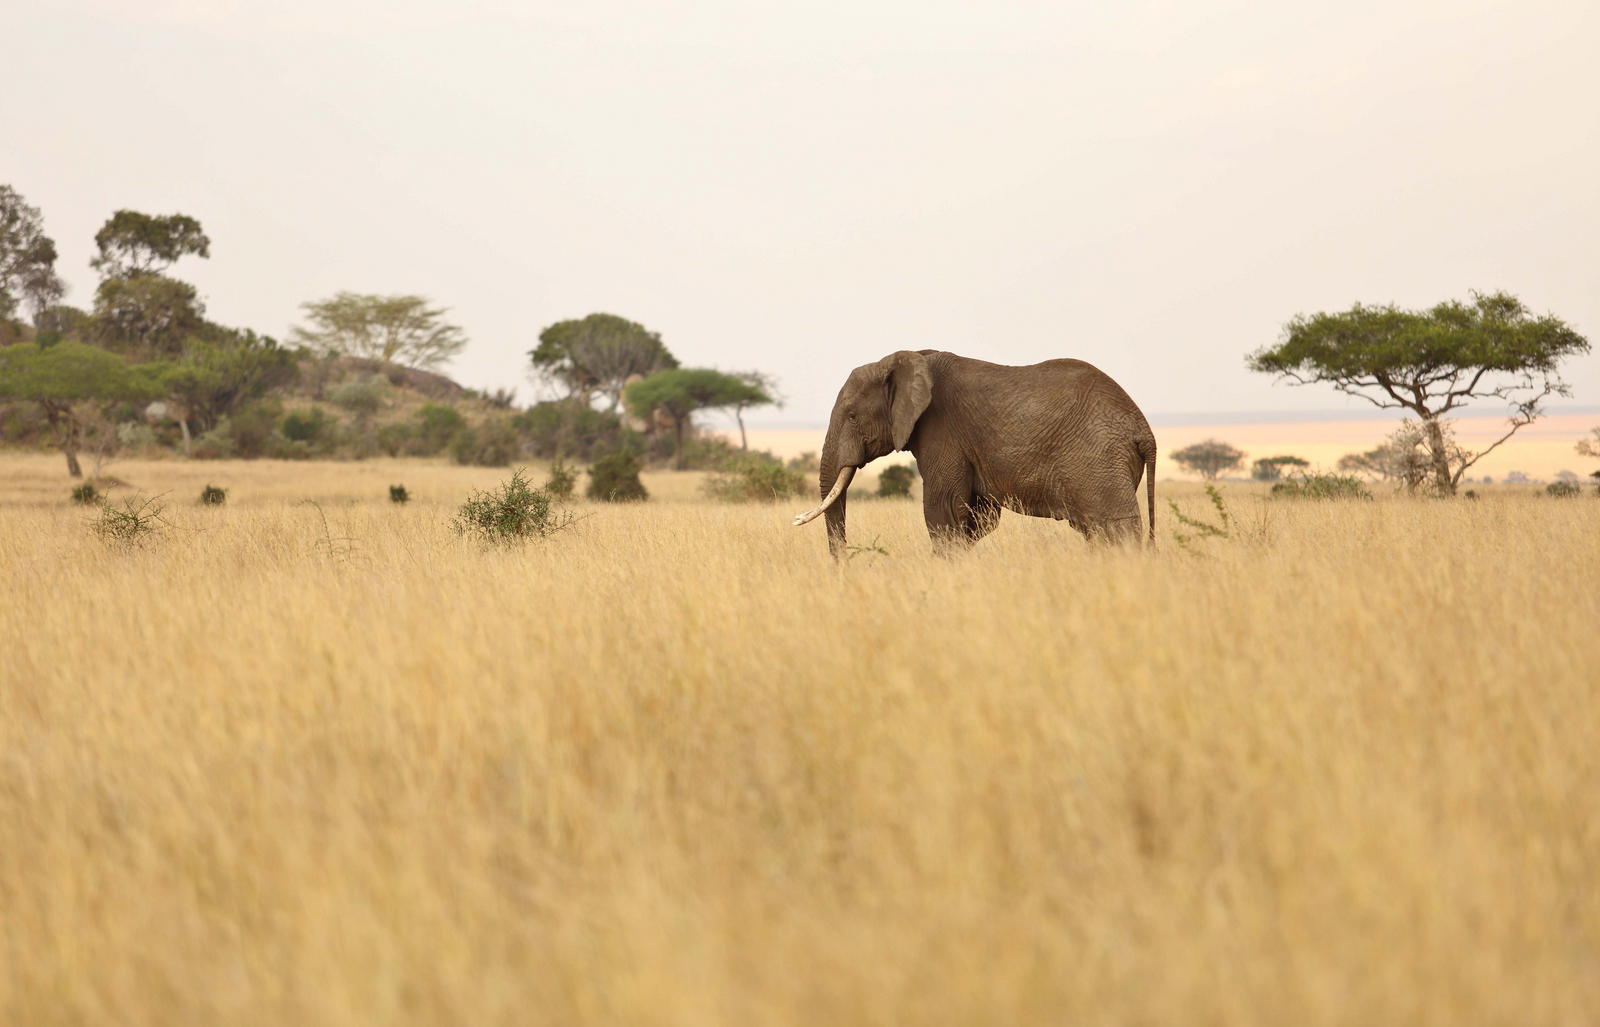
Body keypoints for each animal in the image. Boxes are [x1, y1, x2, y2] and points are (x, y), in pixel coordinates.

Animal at [793, 350, 1157, 555]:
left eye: (853, 416)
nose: (844, 569)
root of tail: (1145, 430)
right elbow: (979, 518)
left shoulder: (942, 430)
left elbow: (942, 511)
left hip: (1099, 457)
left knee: (1115, 528)